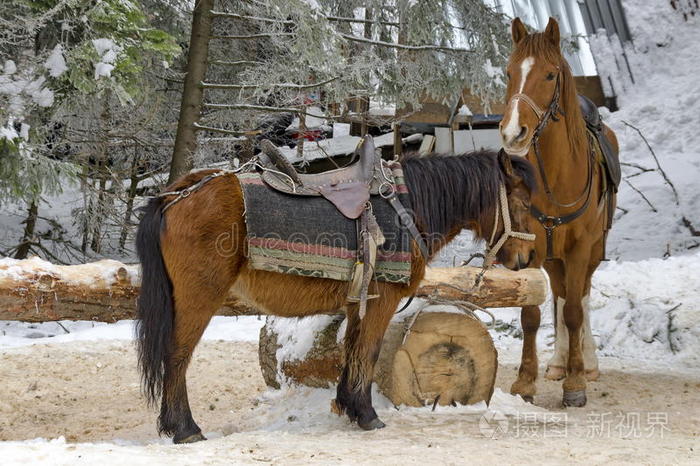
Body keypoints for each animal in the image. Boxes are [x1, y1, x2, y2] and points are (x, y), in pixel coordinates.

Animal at [134, 150, 536, 444]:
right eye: (522, 202)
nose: (525, 259)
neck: (408, 207)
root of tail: (177, 194)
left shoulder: (360, 302)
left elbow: (352, 349)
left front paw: (349, 406)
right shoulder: (382, 300)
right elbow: (369, 351)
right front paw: (368, 415)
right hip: (198, 297)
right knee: (177, 356)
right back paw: (184, 428)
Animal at [500, 16, 620, 406]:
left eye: (551, 75)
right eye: (509, 72)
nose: (513, 132)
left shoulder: (581, 248)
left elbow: (573, 311)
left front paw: (576, 382)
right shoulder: (532, 246)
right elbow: (532, 314)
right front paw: (526, 381)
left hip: (593, 249)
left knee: (580, 295)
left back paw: (586, 363)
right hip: (553, 256)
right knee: (562, 290)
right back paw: (558, 363)